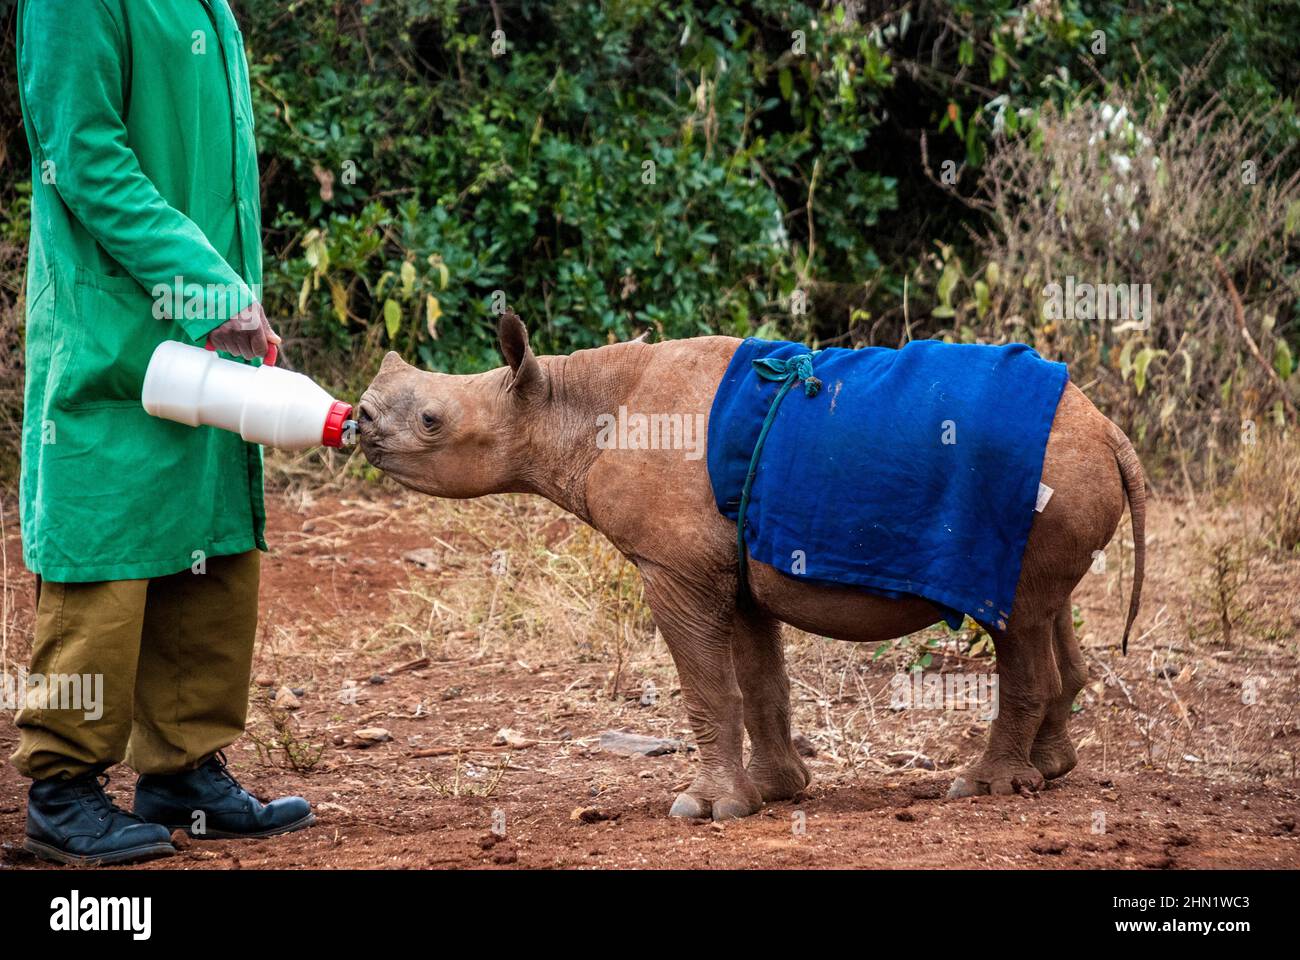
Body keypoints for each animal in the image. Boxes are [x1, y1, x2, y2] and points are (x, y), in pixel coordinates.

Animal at [357, 311, 1145, 819]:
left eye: (431, 421)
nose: (358, 419)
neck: (559, 409)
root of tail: (1109, 429)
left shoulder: (672, 567)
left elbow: (708, 688)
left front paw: (705, 809)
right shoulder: (733, 566)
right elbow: (761, 681)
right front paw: (775, 791)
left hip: (1038, 480)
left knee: (1016, 620)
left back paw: (982, 789)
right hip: (1060, 479)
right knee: (1049, 609)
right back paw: (1048, 774)